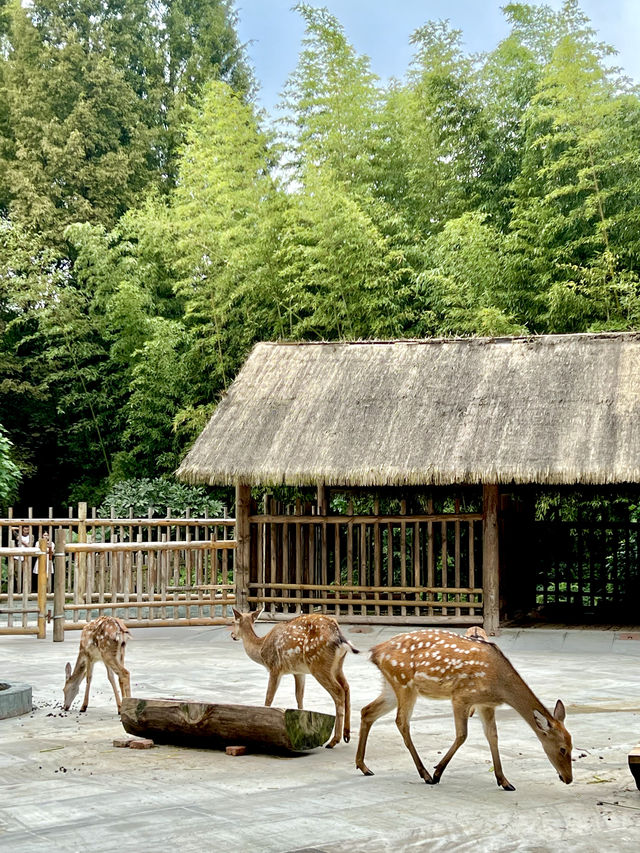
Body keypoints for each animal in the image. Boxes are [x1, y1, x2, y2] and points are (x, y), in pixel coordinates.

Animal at [230, 604, 360, 744]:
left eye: (234, 622)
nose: (232, 635)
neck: (261, 648)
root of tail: (338, 635)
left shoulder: (275, 667)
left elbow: (269, 696)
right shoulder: (299, 672)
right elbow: (299, 696)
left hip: (319, 665)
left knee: (338, 691)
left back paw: (334, 740)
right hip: (337, 666)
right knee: (346, 687)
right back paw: (346, 734)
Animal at [358, 624, 572, 788]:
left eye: (572, 745)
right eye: (562, 749)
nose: (568, 778)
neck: (499, 684)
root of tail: (375, 652)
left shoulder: (486, 704)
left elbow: (493, 736)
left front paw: (504, 781)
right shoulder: (461, 696)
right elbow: (462, 735)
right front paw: (438, 773)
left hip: (392, 687)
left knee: (367, 711)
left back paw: (363, 766)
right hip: (404, 684)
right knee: (401, 721)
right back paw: (425, 774)